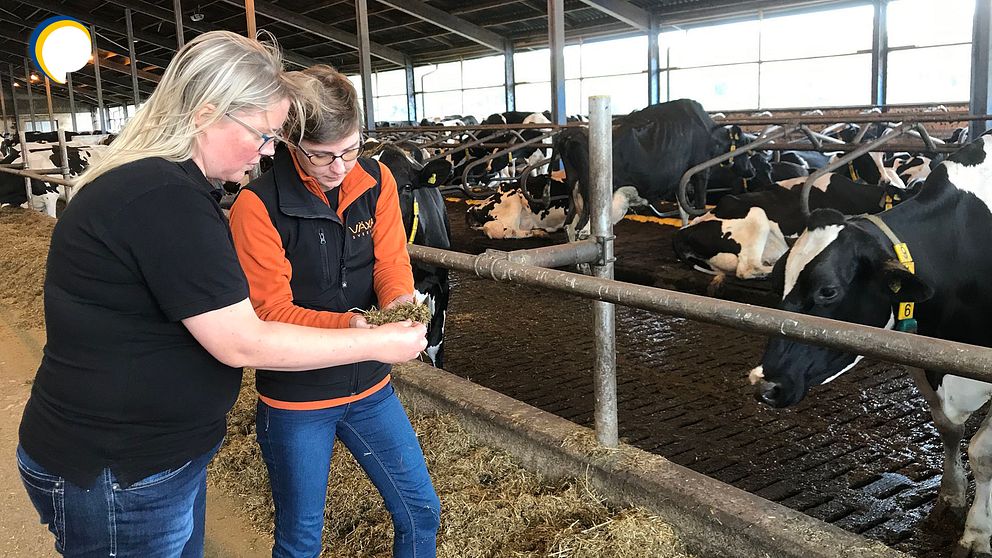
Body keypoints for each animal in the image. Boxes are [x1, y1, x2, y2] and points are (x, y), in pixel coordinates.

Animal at [748, 136, 992, 558]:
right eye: (778, 280)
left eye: (828, 291)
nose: (765, 384)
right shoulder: (924, 353)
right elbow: (948, 429)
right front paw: (950, 497)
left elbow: (983, 453)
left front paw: (977, 535)